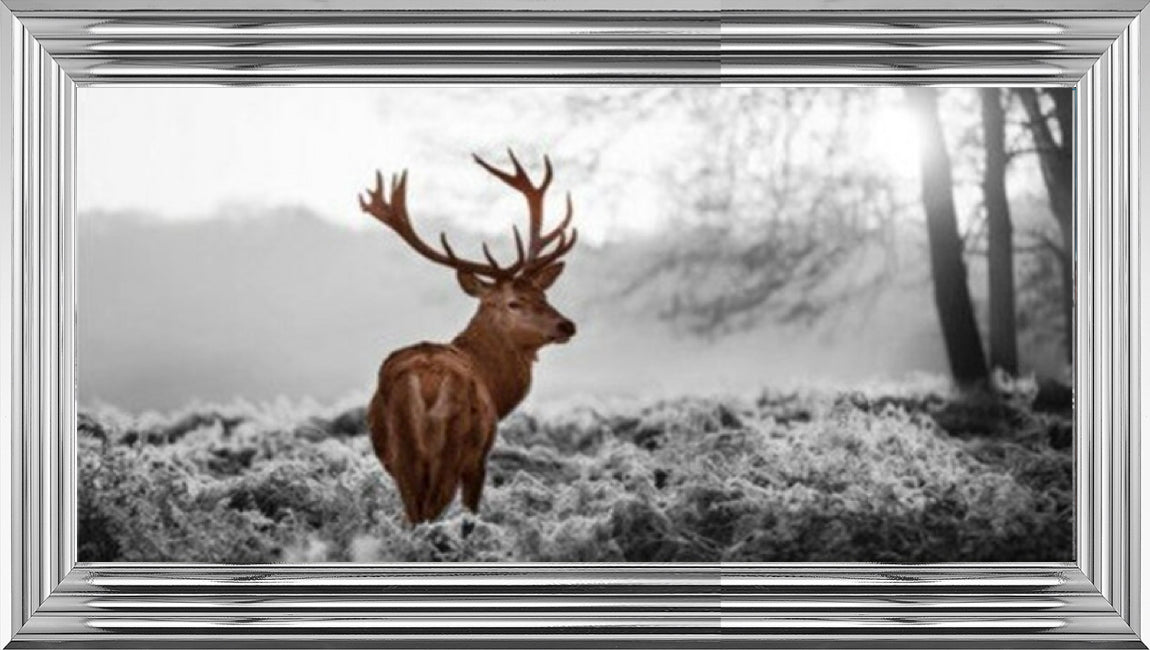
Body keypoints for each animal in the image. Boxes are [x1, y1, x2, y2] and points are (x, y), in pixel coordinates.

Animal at [359, 151, 578, 526]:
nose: (566, 325)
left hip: (403, 457)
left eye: (543, 295)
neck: (496, 389)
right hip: (454, 449)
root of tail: (426, 383)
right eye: (514, 302)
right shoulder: (480, 458)